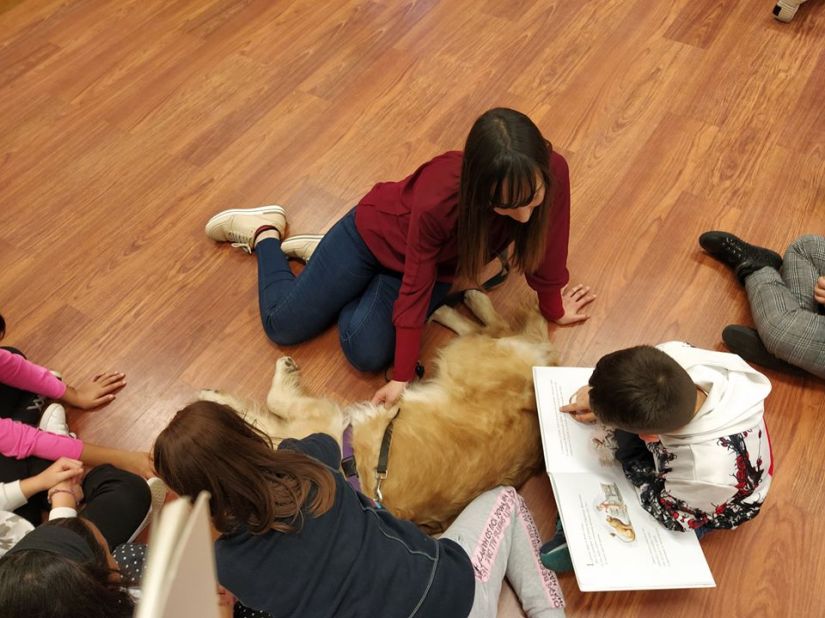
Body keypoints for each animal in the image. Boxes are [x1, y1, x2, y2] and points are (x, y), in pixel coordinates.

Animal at [201, 290, 557, 532]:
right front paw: (211, 396)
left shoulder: (321, 418)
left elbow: (275, 401)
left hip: (466, 359)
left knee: (494, 328)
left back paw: (465, 302)